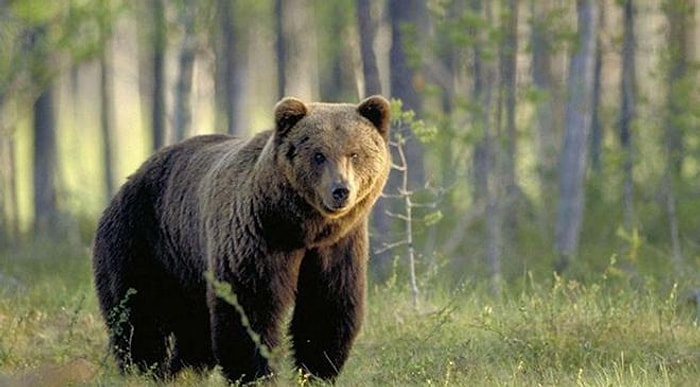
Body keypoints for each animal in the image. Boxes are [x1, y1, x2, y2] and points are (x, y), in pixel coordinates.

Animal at [90, 95, 392, 384]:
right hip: (142, 241)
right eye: (319, 155)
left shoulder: (336, 249)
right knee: (137, 315)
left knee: (194, 330)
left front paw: (316, 372)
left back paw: (180, 373)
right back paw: (144, 370)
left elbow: (326, 308)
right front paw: (255, 374)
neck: (301, 228)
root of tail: (128, 182)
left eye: (354, 153)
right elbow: (248, 309)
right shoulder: (256, 239)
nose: (340, 190)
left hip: (187, 270)